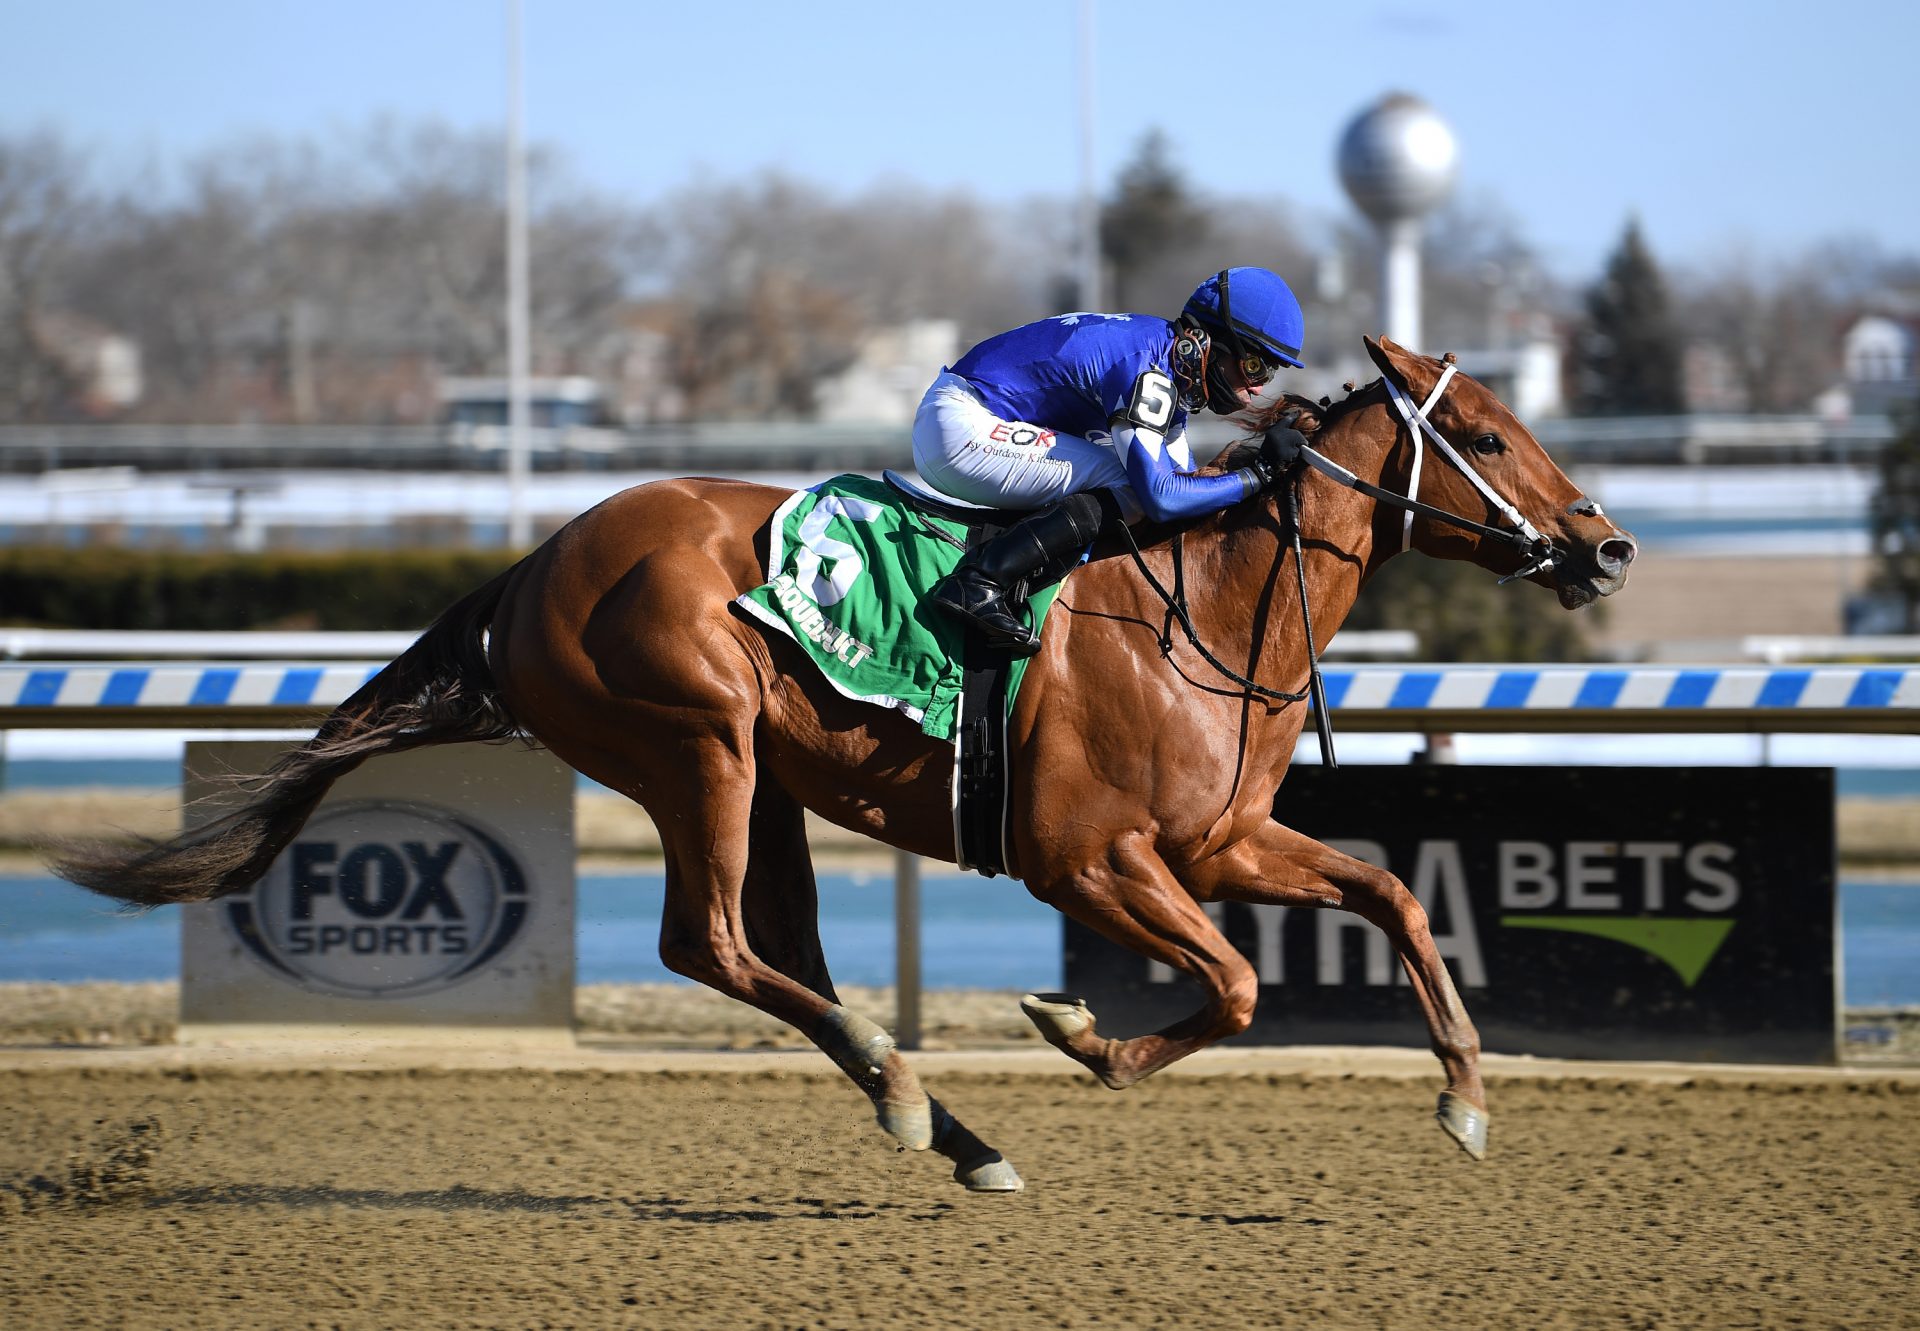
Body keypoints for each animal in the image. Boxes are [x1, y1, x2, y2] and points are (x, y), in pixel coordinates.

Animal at [56, 338, 1635, 1190]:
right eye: (1485, 434)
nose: (1610, 546)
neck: (1210, 599)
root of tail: (534, 563)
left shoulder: (1219, 843)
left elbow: (1395, 895)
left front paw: (1468, 1096)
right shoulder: (1091, 858)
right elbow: (1239, 984)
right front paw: (1081, 1032)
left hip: (766, 780)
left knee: (778, 951)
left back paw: (949, 1123)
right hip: (694, 745)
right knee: (707, 943)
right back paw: (903, 1084)